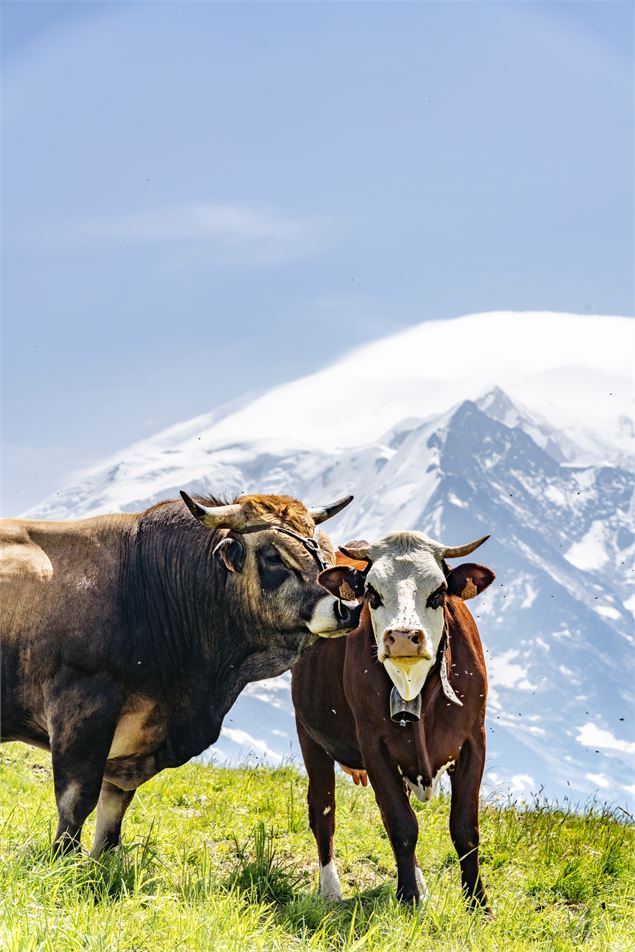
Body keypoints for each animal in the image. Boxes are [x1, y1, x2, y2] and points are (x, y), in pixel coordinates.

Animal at [0, 491, 360, 856]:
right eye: (274, 556)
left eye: (327, 553)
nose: (347, 608)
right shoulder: (81, 708)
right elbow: (77, 800)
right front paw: (65, 858)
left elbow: (113, 809)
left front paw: (101, 861)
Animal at [291, 530, 495, 911]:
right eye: (372, 593)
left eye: (438, 592)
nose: (402, 636)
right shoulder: (375, 746)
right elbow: (401, 825)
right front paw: (409, 897)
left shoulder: (474, 743)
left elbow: (465, 829)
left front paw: (478, 903)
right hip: (310, 736)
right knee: (323, 809)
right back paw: (331, 890)